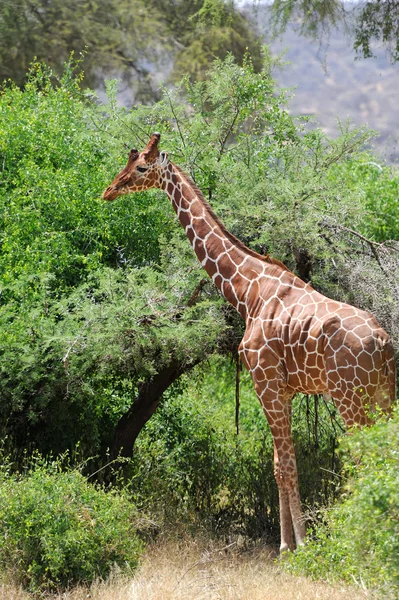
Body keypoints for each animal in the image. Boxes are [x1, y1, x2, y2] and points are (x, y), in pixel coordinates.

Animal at [102, 132, 396, 552]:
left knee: (363, 457)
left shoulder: (266, 382)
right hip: (383, 395)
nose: (109, 190)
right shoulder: (283, 389)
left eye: (141, 167)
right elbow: (279, 462)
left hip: (349, 397)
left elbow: (284, 465)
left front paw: (295, 546)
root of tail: (384, 343)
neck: (247, 291)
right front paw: (290, 542)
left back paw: (360, 540)